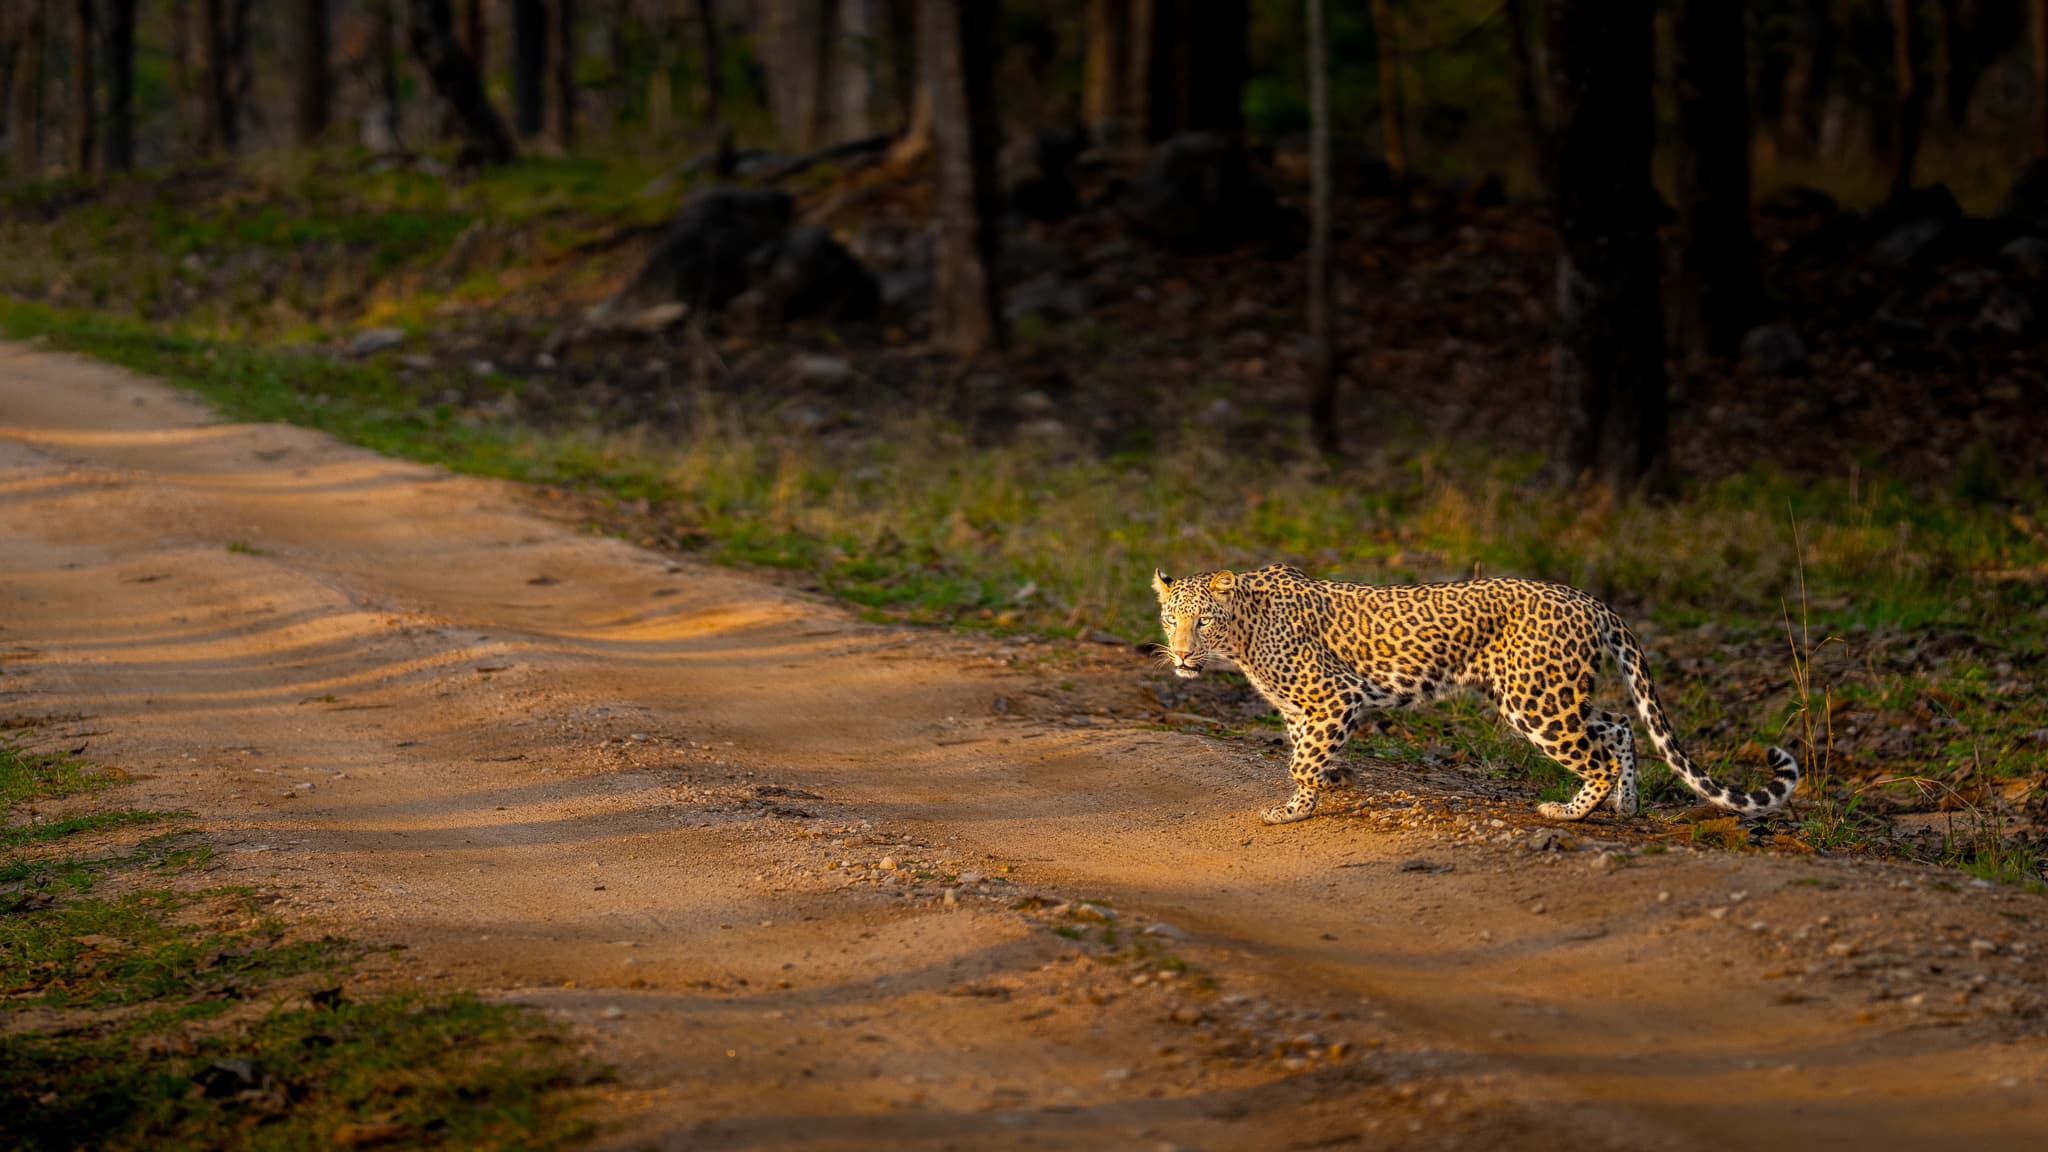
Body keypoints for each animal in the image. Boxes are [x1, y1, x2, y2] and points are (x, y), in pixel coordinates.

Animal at [1151, 564, 1800, 826]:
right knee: (1618, 724)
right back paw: (1627, 807)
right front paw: (1325, 788)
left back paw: (1571, 811)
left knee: (1599, 755)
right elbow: (1307, 752)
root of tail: (1591, 601)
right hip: (1552, 694)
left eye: (1202, 622)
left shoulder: (1332, 696)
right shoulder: (1304, 708)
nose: (1180, 655)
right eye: (1170, 619)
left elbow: (1301, 760)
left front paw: (1295, 808)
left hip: (1537, 701)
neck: (1242, 636)